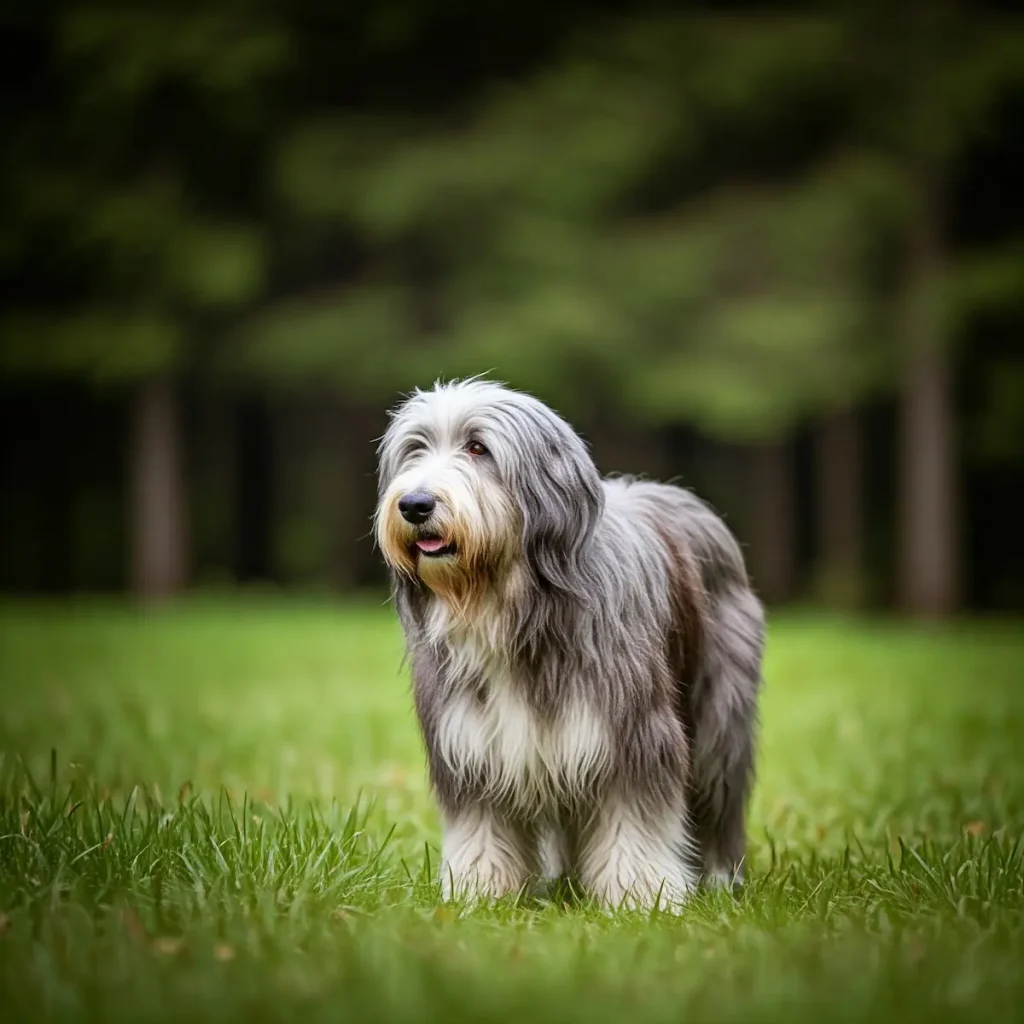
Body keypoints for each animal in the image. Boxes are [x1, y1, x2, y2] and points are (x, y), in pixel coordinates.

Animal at [374, 380, 761, 909]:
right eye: (415, 449)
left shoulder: (630, 733)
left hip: (718, 716)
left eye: (477, 448)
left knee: (719, 794)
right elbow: (481, 827)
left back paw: (721, 877)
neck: (512, 609)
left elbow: (634, 823)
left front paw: (642, 896)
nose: (414, 504)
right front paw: (480, 893)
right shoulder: (471, 742)